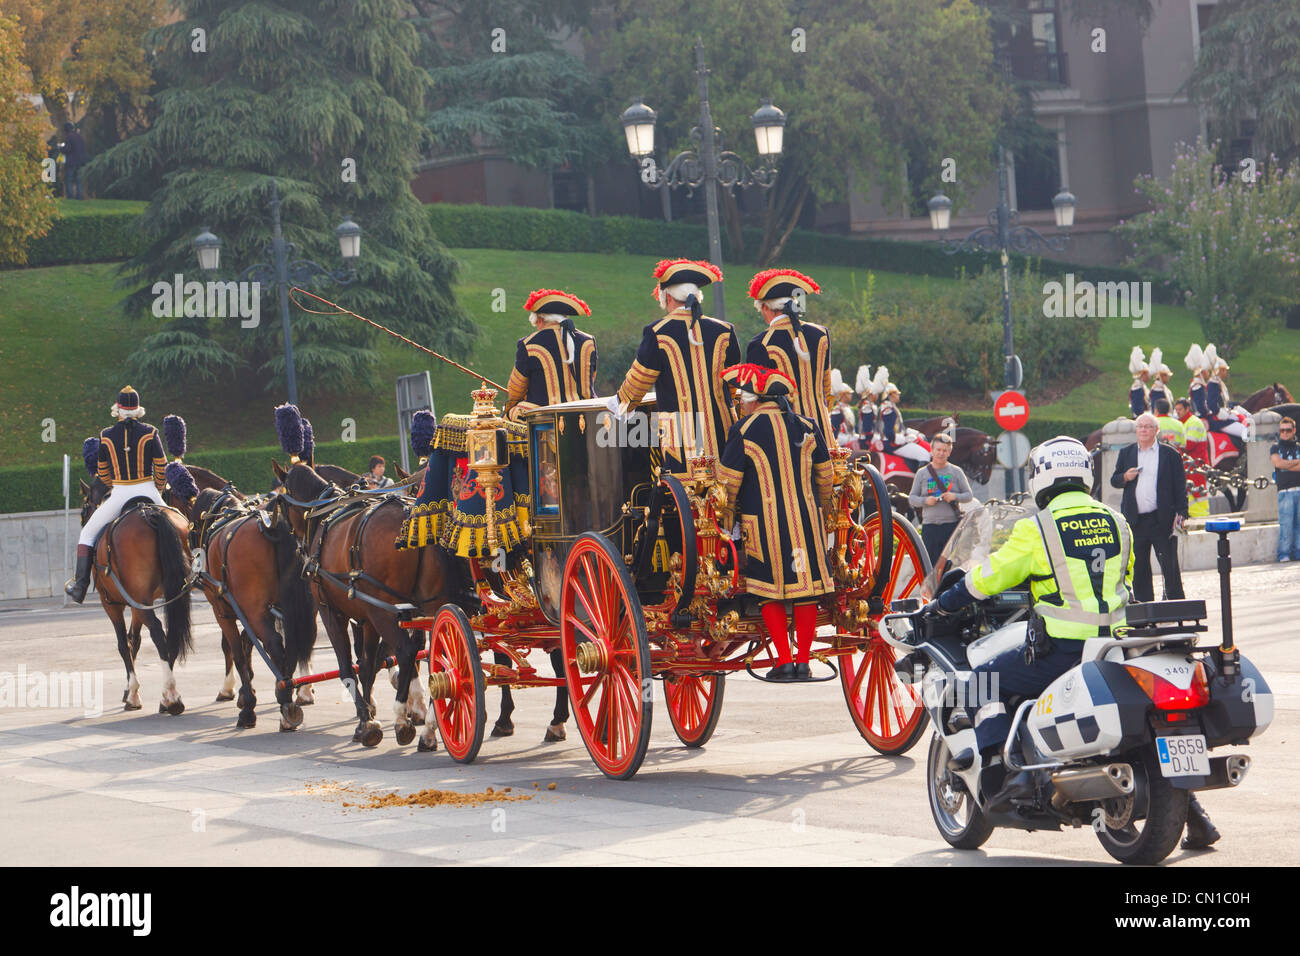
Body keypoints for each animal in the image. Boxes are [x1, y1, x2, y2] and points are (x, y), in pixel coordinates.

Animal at [79, 478, 192, 712]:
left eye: (84, 508)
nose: (84, 520)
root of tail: (151, 513)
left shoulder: (112, 604)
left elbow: (124, 644)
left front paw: (131, 693)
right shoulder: (137, 604)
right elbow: (135, 640)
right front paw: (129, 690)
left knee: (158, 632)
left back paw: (172, 697)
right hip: (168, 595)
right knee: (173, 634)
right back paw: (167, 697)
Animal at [271, 460, 449, 749]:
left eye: (280, 501)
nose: (294, 541)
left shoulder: (332, 612)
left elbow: (347, 667)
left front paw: (367, 720)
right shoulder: (367, 618)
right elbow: (367, 666)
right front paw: (367, 714)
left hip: (384, 610)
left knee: (407, 651)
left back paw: (402, 719)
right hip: (431, 604)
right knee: (441, 656)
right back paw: (431, 725)